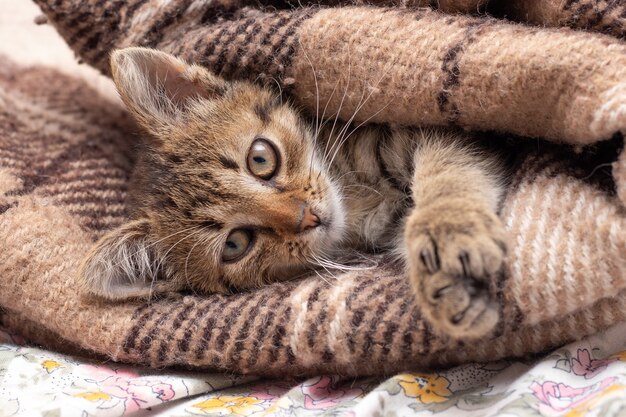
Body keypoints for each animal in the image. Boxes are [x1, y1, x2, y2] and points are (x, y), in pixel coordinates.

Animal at [79, 47, 508, 338]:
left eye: (260, 158)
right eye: (235, 244)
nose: (308, 216)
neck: (356, 204)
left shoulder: (440, 134)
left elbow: (448, 171)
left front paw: (450, 233)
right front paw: (446, 287)